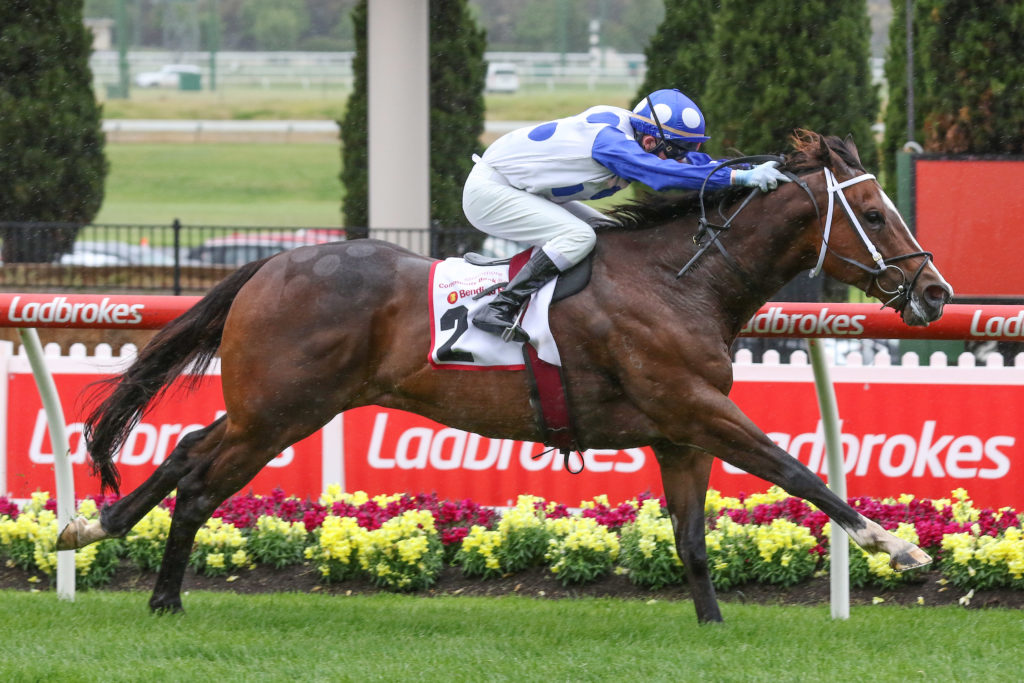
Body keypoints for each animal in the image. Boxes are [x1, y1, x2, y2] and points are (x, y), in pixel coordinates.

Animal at [59, 129, 952, 622]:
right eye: (876, 214)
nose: (936, 291)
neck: (679, 278)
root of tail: (271, 263)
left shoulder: (679, 430)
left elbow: (694, 537)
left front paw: (713, 623)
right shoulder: (695, 406)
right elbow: (799, 472)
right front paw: (898, 547)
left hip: (274, 407)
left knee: (185, 451)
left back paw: (94, 528)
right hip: (279, 411)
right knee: (199, 478)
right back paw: (160, 592)